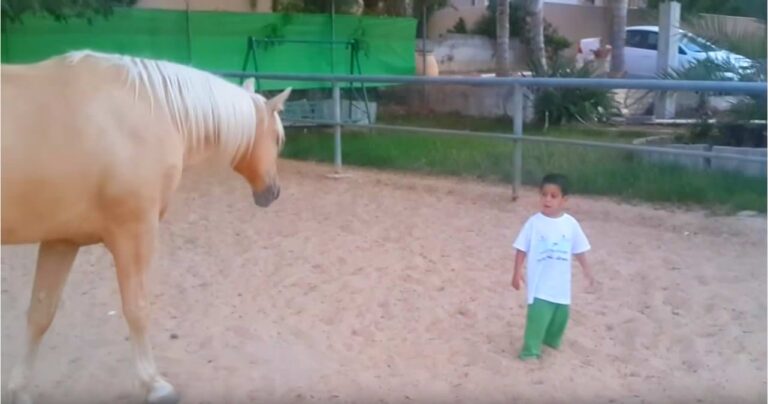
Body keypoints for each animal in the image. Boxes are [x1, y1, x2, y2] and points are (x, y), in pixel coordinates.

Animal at [2, 51, 292, 404]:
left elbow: (40, 313)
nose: (273, 192)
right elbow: (137, 308)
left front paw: (18, 389)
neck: (148, 111)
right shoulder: (134, 233)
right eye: (277, 138)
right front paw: (154, 384)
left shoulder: (61, 240)